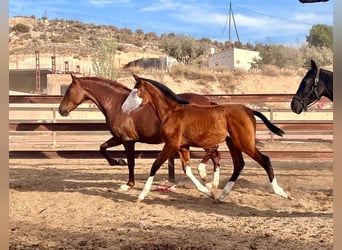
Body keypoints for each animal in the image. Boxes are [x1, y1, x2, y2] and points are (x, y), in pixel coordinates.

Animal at [57, 74, 220, 189]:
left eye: (68, 90)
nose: (61, 110)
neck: (117, 104)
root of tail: (208, 101)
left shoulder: (127, 140)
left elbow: (131, 162)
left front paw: (129, 184)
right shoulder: (118, 137)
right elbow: (102, 148)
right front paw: (117, 161)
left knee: (213, 152)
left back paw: (203, 173)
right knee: (215, 155)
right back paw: (212, 183)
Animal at [121, 74, 288, 201]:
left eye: (135, 92)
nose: (123, 108)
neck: (172, 113)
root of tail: (249, 110)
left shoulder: (171, 145)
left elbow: (155, 165)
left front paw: (142, 195)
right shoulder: (183, 147)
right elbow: (187, 170)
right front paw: (208, 191)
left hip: (244, 143)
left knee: (265, 160)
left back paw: (281, 192)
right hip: (233, 143)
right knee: (239, 164)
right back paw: (222, 195)